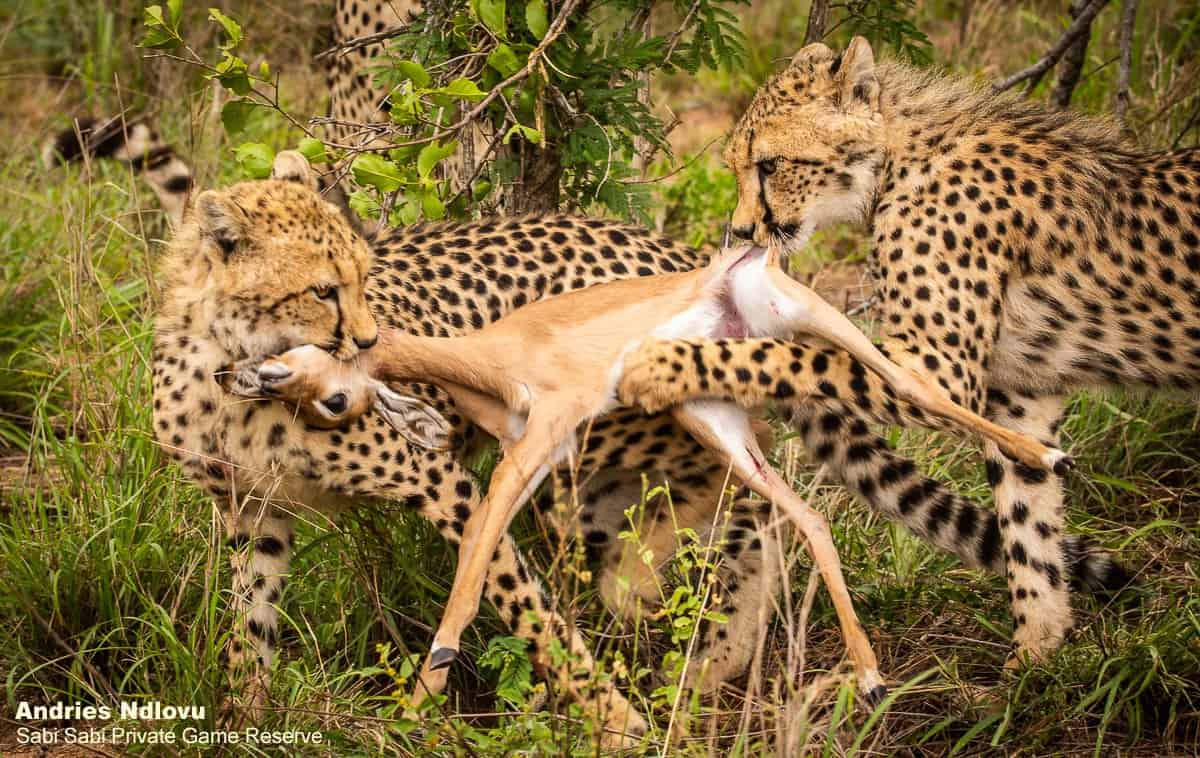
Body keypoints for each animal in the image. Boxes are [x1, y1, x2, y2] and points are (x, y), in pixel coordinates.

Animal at [615, 35, 1191, 664]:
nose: (741, 232)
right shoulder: (1021, 394)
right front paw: (1035, 662)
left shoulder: (938, 367)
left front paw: (663, 366)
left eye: (770, 165)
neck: (895, 161)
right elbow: (1027, 521)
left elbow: (791, 356)